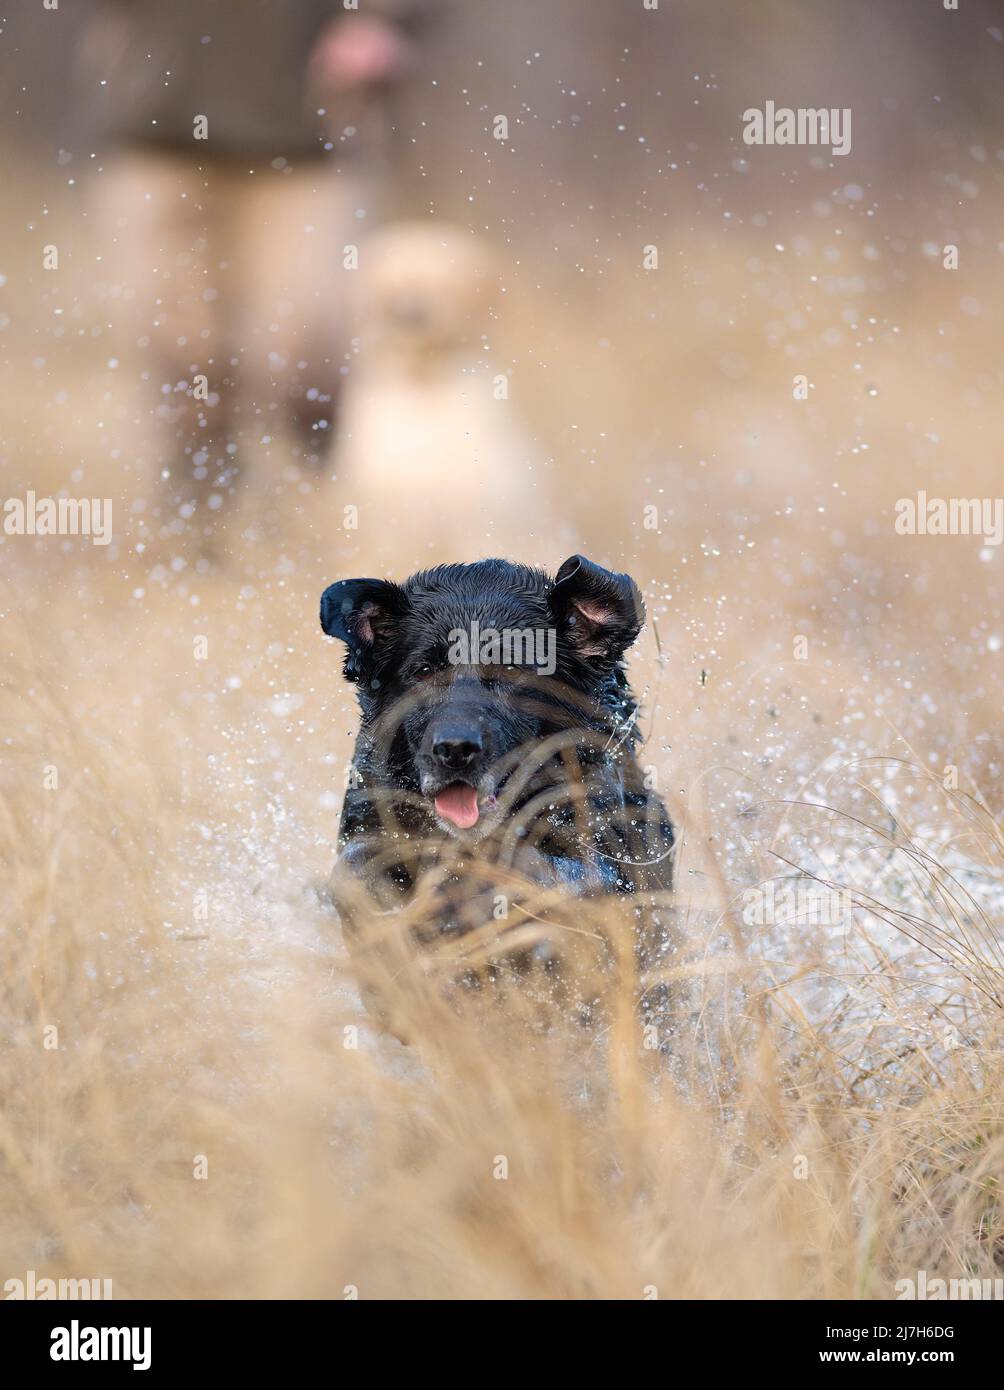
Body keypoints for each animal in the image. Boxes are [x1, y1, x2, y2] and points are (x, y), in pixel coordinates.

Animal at [321, 556, 673, 1011]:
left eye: (511, 668)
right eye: (424, 671)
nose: (454, 748)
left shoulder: (610, 860)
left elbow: (554, 876)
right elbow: (356, 868)